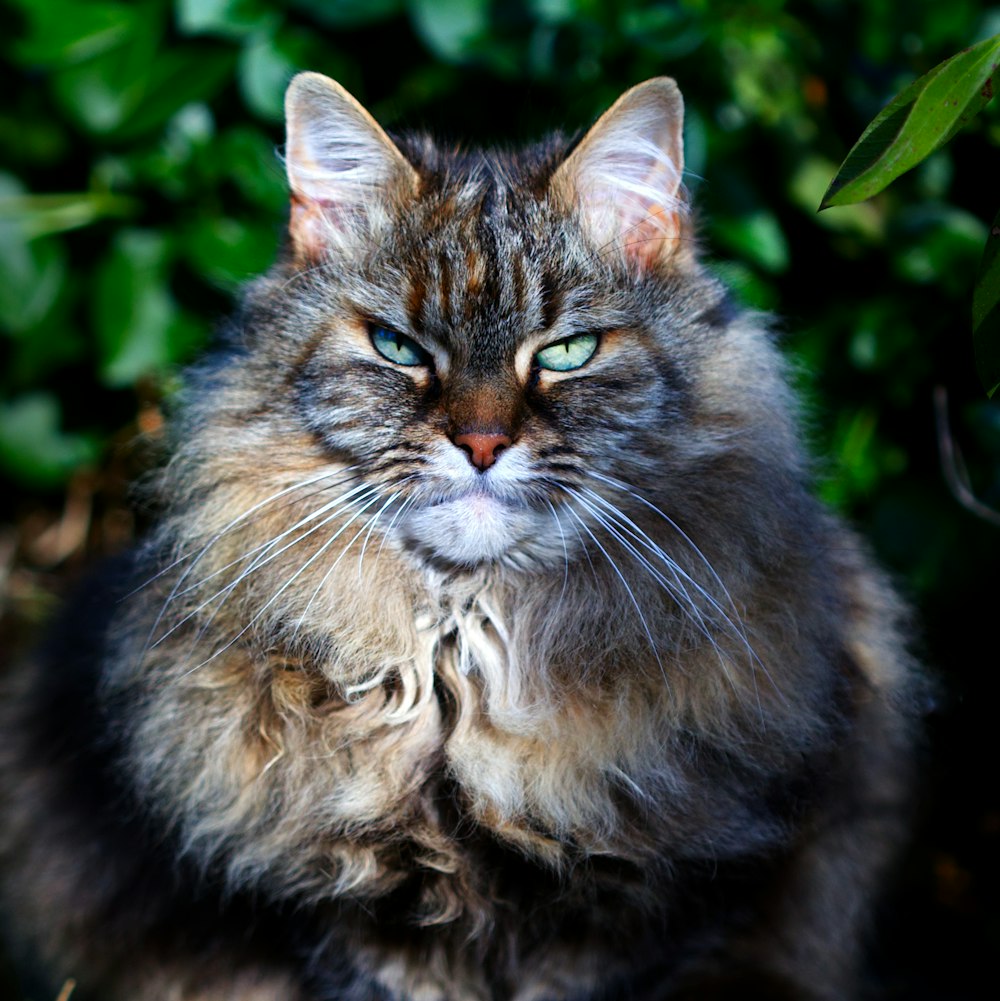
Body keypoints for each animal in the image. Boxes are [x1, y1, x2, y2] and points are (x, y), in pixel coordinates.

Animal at [0, 76, 920, 1001]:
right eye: (397, 347)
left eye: (568, 352)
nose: (481, 444)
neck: (463, 674)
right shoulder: (345, 924)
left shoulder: (656, 910)